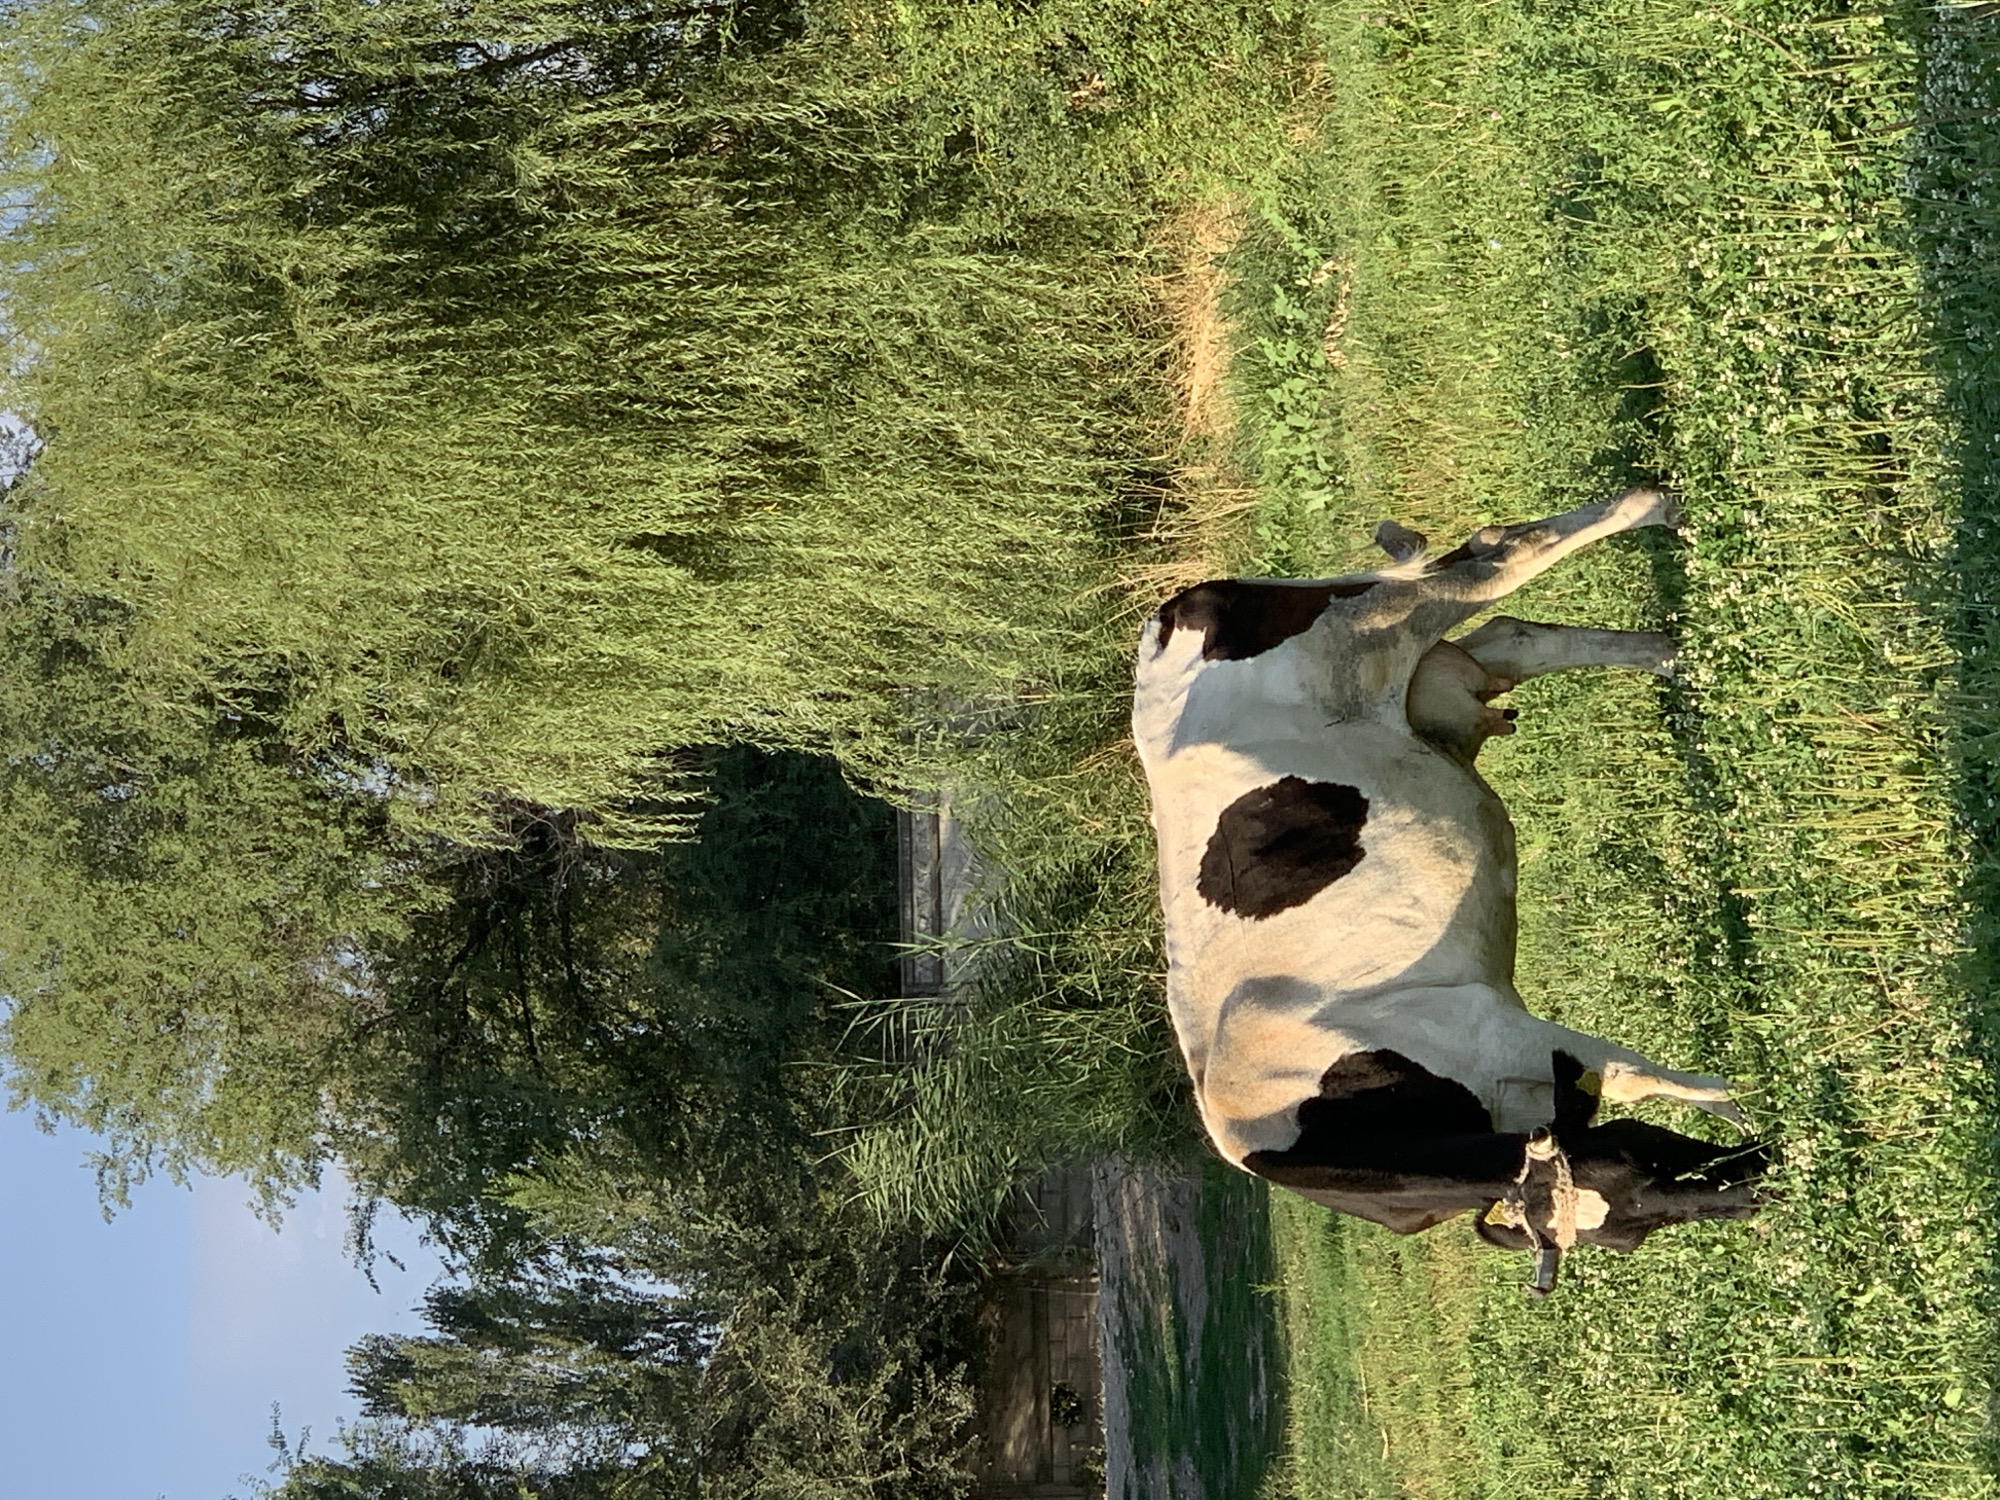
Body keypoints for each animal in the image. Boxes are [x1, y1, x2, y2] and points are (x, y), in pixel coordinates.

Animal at [1132, 487, 1766, 1295]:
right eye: (1636, 1200)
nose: (1763, 1182)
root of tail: (1167, 618)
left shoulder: (1495, 1029)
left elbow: (1635, 1073)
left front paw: (1738, 1099)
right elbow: (1630, 1080)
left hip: (1367, 624)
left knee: (1495, 559)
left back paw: (1655, 507)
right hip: (1413, 676)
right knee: (1509, 632)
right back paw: (1673, 652)